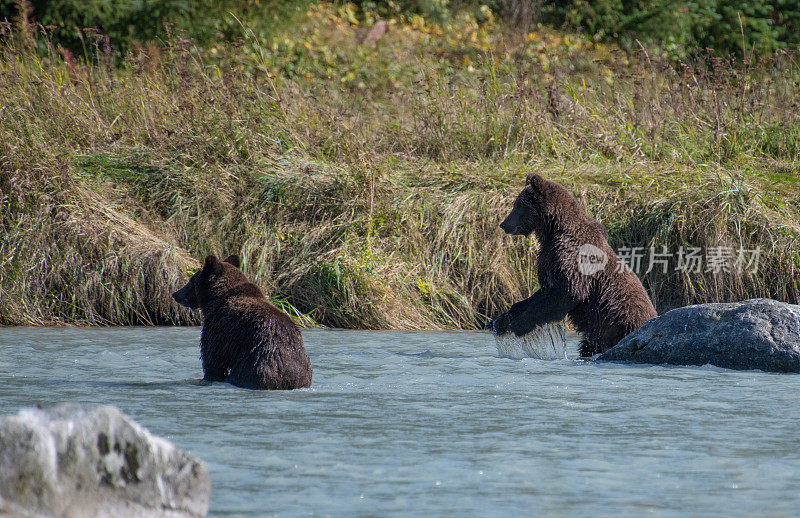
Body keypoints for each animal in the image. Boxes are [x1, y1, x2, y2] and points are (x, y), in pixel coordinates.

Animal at [172, 254, 312, 392]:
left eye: (191, 281)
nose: (175, 294)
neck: (216, 299)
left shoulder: (219, 328)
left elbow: (213, 360)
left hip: (256, 365)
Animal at [494, 175, 656, 358]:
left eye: (518, 206)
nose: (503, 224)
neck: (553, 230)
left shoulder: (573, 257)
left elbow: (569, 292)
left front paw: (517, 324)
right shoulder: (550, 259)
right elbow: (542, 293)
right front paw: (503, 318)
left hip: (618, 324)